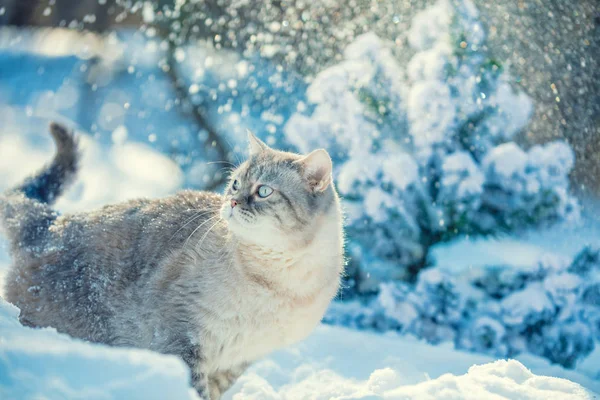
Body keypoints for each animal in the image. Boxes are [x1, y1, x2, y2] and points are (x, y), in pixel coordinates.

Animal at [0, 123, 344, 398]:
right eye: (235, 184)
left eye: (263, 192)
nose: (232, 202)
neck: (279, 284)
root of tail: (51, 223)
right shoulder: (183, 337)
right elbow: (194, 390)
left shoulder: (237, 359)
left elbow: (213, 393)